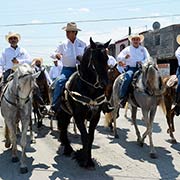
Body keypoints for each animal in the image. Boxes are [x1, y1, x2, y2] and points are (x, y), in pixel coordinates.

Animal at [56, 38, 110, 169]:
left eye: (107, 58)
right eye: (95, 58)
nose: (104, 82)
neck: (90, 89)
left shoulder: (95, 116)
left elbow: (90, 137)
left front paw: (88, 159)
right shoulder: (78, 116)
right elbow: (85, 137)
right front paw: (84, 160)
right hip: (64, 113)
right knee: (63, 128)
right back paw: (68, 148)